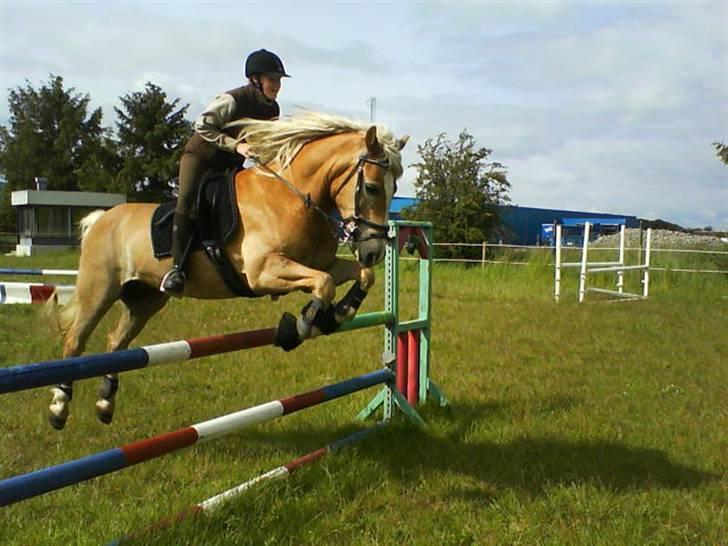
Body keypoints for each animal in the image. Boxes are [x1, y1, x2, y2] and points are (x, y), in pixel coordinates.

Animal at [47, 111, 406, 430]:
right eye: (372, 188)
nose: (373, 251)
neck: (293, 198)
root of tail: (101, 219)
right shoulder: (263, 272)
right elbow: (325, 283)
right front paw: (301, 326)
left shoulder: (319, 263)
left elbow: (360, 276)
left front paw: (337, 314)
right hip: (99, 290)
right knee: (75, 341)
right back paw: (59, 408)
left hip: (144, 299)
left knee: (115, 342)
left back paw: (105, 403)